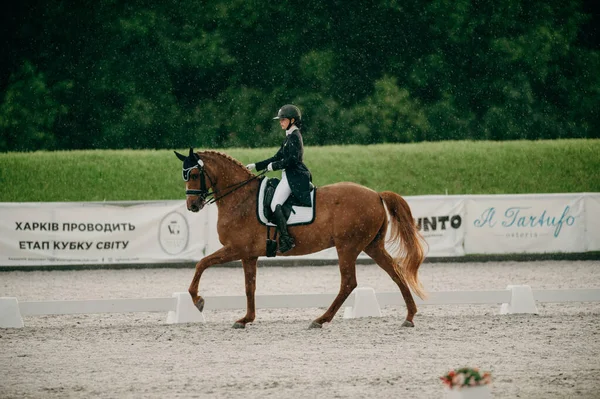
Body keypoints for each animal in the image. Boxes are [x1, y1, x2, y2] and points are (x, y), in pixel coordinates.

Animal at [173, 148, 426, 330]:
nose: (192, 205)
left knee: (348, 282)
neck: (240, 199)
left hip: (348, 246)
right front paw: (246, 319)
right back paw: (409, 316)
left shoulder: (235, 248)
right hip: (371, 245)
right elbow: (249, 287)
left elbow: (201, 263)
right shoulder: (248, 255)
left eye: (194, 175)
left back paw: (320, 320)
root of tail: (376, 194)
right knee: (395, 272)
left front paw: (198, 301)